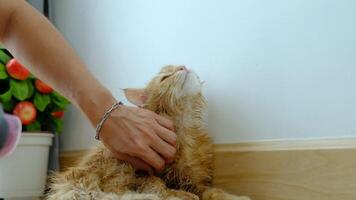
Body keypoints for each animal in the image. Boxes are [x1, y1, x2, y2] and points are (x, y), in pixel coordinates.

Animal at [46, 65, 250, 199]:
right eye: (165, 77)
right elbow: (159, 185)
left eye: (178, 67)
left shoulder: (198, 181)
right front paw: (180, 193)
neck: (185, 127)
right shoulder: (145, 171)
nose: (183, 66)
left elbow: (213, 192)